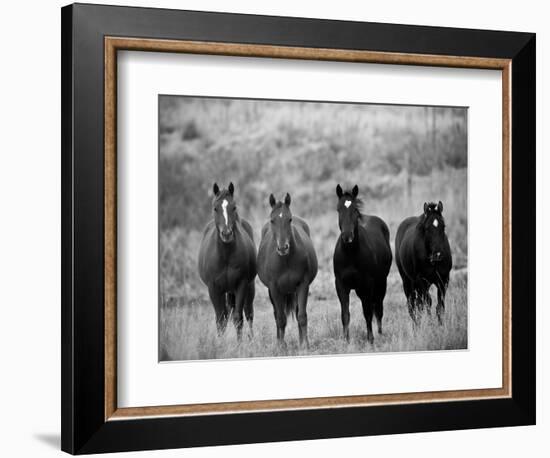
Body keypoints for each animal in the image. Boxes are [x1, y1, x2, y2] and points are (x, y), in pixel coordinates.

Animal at [198, 183, 258, 340]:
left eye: (234, 207)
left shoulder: (241, 285)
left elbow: (238, 318)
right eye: (215, 208)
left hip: (249, 287)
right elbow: (221, 319)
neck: (225, 256)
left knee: (249, 313)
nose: (226, 234)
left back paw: (252, 338)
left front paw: (239, 344)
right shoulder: (213, 288)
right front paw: (221, 343)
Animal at [258, 191, 320, 346]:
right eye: (272, 220)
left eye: (289, 219)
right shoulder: (274, 289)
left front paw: (305, 344)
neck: (285, 260)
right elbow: (280, 318)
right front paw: (281, 346)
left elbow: (301, 316)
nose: (282, 248)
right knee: (277, 315)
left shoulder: (303, 285)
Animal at [334, 184, 394, 342]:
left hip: (380, 283)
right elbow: (345, 315)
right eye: (338, 209)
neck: (350, 254)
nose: (347, 236)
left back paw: (379, 333)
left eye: (355, 210)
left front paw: (370, 339)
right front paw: (346, 340)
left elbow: (367, 313)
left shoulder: (366, 285)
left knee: (378, 308)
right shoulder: (341, 286)